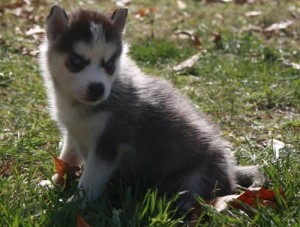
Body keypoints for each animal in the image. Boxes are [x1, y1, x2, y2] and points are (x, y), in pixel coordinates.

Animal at [38, 5, 264, 209]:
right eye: (76, 61)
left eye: (109, 64)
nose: (97, 88)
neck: (78, 104)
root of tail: (232, 170)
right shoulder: (72, 132)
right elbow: (66, 159)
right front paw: (54, 182)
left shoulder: (109, 145)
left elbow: (90, 180)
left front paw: (75, 204)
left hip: (198, 177)